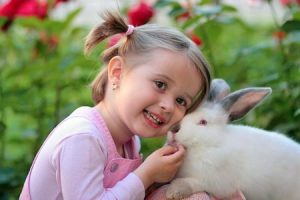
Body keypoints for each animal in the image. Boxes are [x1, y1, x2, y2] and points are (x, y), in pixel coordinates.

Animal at [165, 79, 300, 199]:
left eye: (203, 122)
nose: (174, 128)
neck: (209, 145)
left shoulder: (214, 182)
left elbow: (192, 183)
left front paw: (173, 191)